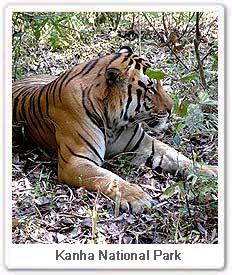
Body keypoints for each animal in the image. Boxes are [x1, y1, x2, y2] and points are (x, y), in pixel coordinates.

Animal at [11, 45, 217, 213]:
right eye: (151, 88)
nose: (171, 108)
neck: (113, 121)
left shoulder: (145, 144)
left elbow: (177, 156)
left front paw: (207, 170)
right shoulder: (75, 162)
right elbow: (110, 178)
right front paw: (138, 197)